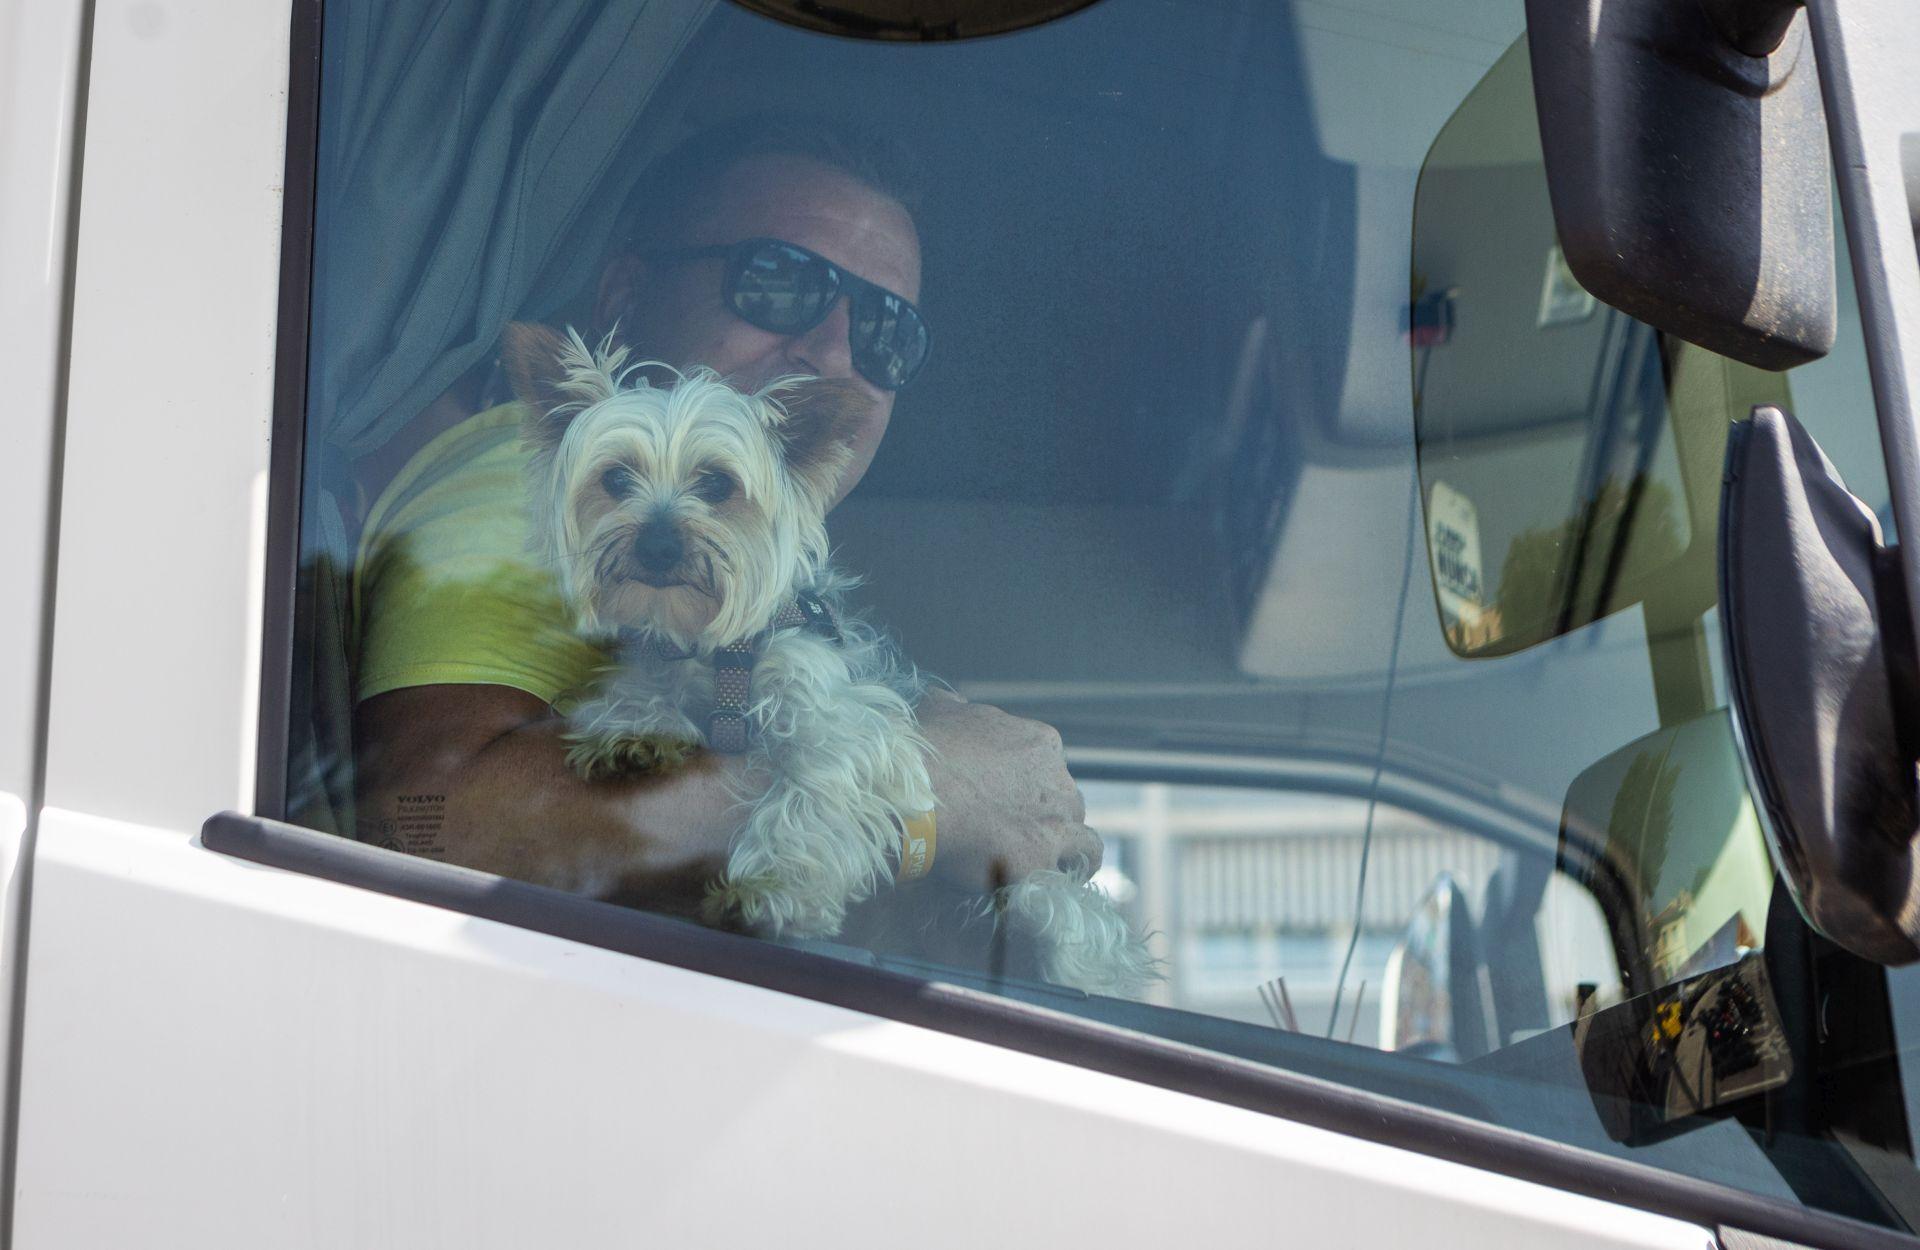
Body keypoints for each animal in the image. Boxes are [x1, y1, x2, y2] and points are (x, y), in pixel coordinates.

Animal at [503, 322, 1144, 998]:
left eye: (717, 484)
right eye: (617, 480)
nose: (657, 545)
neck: (715, 649)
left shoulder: (839, 719)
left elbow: (809, 794)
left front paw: (770, 890)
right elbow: (644, 688)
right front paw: (634, 728)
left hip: (1045, 900)